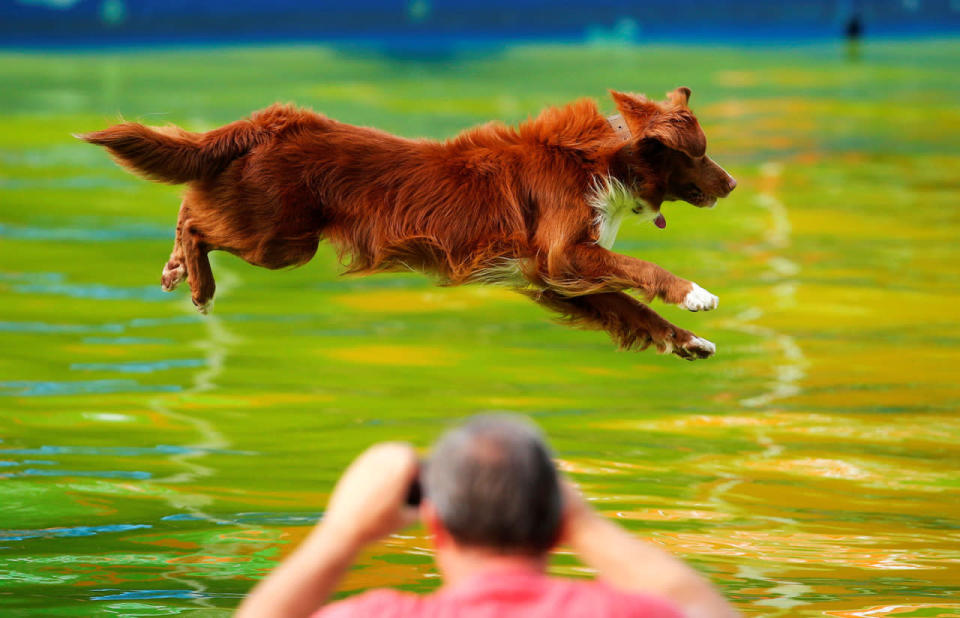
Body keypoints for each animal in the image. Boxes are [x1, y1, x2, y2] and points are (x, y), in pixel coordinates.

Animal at [82, 84, 740, 358]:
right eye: (701, 153)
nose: (732, 184)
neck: (608, 157)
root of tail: (270, 122)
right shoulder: (564, 254)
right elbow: (643, 269)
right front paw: (696, 295)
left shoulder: (553, 278)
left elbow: (634, 309)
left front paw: (689, 342)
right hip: (279, 239)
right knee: (196, 220)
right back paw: (198, 284)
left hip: (275, 233)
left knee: (190, 207)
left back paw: (175, 270)